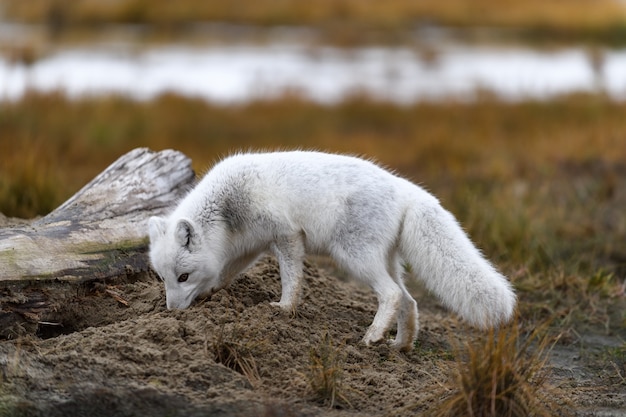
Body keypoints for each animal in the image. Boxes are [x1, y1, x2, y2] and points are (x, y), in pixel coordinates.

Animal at [149, 151, 516, 350]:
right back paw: (400, 344)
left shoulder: (287, 235)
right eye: (164, 279)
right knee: (409, 300)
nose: (172, 311)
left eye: (183, 276)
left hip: (353, 257)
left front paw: (284, 308)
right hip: (384, 261)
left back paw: (371, 337)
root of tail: (407, 189)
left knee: (392, 294)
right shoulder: (249, 247)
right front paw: (212, 292)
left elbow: (291, 279)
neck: (228, 207)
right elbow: (225, 273)